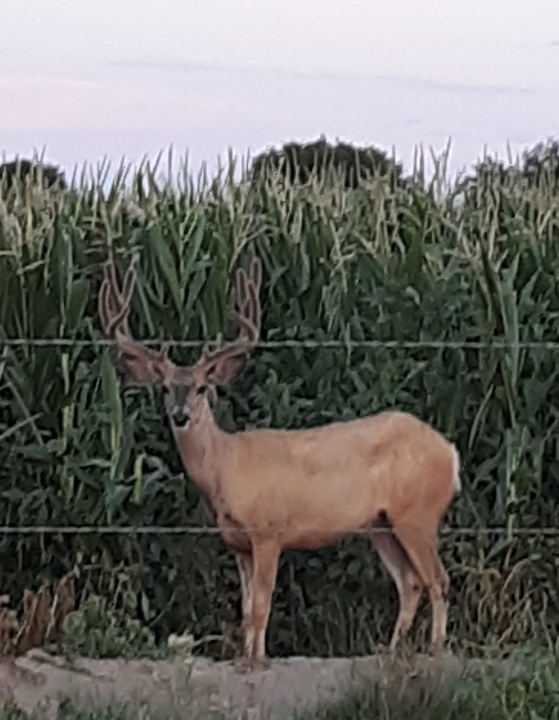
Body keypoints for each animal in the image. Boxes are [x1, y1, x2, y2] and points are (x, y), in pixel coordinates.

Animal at [98, 251, 461, 672]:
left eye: (202, 388)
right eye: (164, 388)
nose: (180, 415)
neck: (227, 468)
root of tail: (450, 453)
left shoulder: (268, 531)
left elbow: (261, 607)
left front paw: (257, 661)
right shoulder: (237, 543)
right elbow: (245, 609)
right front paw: (246, 657)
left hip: (417, 514)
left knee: (438, 580)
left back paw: (436, 651)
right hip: (380, 523)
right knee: (411, 582)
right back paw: (391, 652)